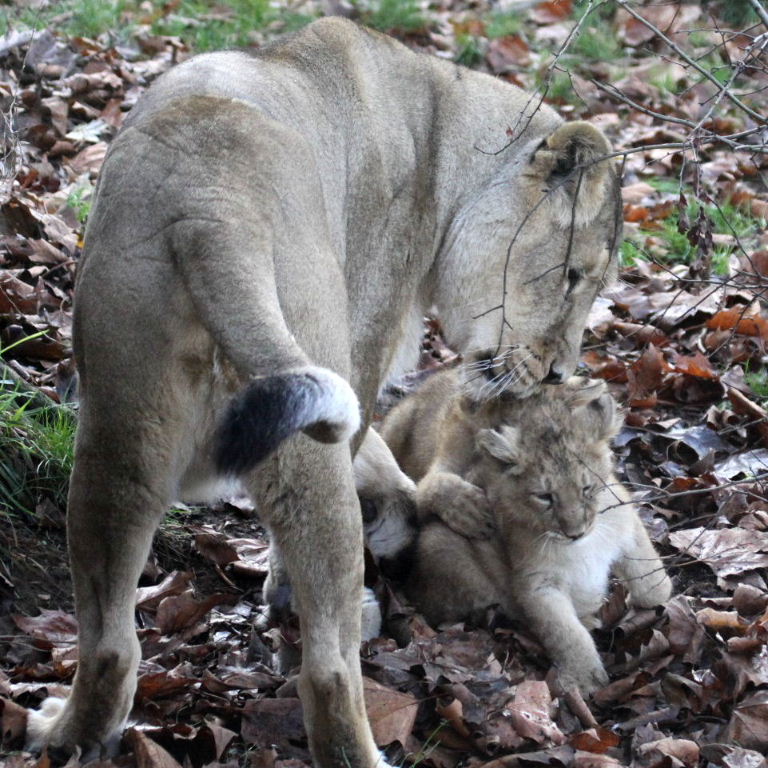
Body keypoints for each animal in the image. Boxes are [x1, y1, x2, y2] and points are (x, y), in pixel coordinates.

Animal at [26, 17, 621, 767]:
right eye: (573, 276)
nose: (558, 373)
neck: (443, 134)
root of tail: (210, 209)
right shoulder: (364, 356)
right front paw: (286, 596)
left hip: (119, 425)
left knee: (108, 637)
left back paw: (65, 732)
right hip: (316, 412)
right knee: (330, 664)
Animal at [383, 372, 671, 695]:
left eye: (587, 487)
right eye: (545, 497)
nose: (575, 532)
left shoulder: (627, 523)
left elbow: (651, 579)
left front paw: (651, 600)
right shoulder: (536, 585)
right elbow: (565, 633)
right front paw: (583, 679)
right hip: (439, 543)